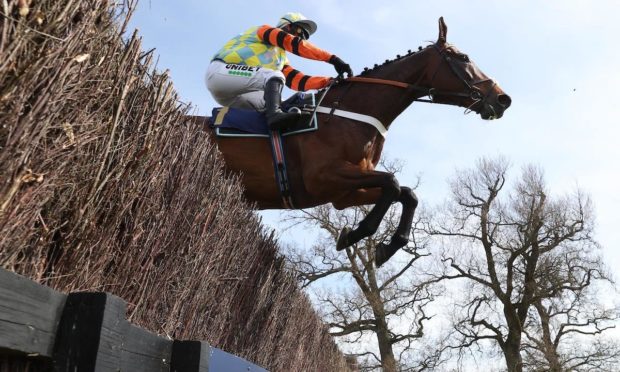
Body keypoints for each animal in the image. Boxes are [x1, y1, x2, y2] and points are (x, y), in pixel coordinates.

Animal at [191, 18, 512, 268]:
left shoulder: (343, 192)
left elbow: (407, 194)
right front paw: (356, 233)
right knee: (273, 77)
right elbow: (393, 182)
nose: (502, 99)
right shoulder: (323, 177)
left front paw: (388, 246)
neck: (350, 113)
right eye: (464, 57)